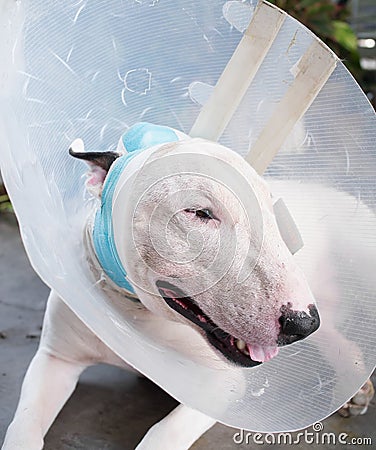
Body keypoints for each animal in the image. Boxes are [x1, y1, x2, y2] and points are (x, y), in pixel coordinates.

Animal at [2, 122, 374, 450]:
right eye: (198, 212)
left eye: (272, 211)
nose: (303, 323)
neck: (132, 307)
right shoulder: (55, 358)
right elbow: (23, 425)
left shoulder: (221, 383)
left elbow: (162, 434)